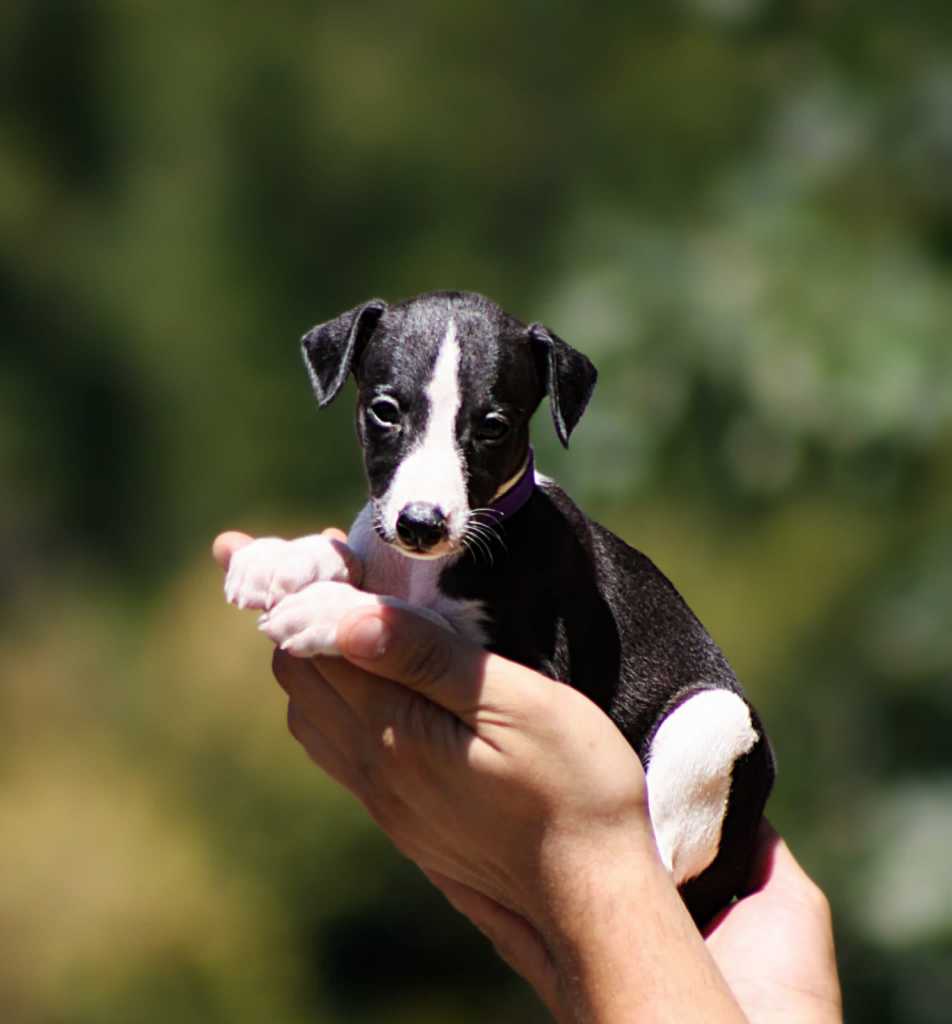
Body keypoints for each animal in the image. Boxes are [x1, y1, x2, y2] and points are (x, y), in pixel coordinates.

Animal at [226, 290, 773, 929]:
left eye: (493, 426)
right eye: (385, 411)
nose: (420, 523)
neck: (434, 563)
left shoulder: (538, 670)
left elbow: (422, 617)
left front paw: (326, 608)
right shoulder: (381, 546)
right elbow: (354, 553)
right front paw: (283, 556)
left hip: (712, 723)